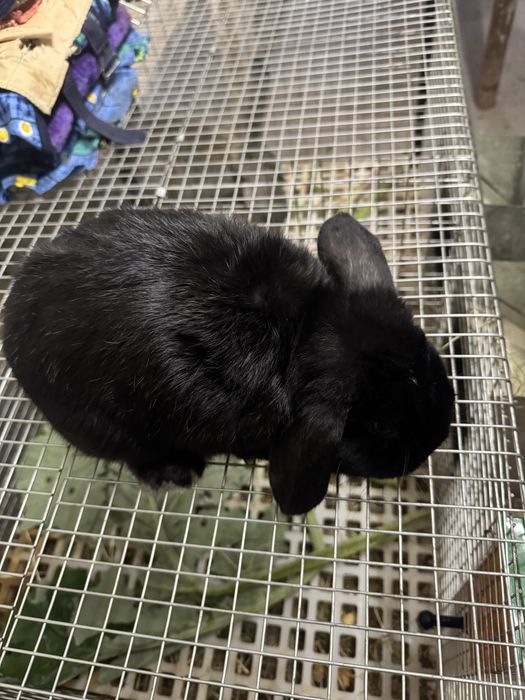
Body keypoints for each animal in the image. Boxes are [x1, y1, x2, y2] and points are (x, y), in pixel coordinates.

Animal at [3, 209, 454, 515]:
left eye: (429, 358)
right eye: (379, 427)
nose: (435, 440)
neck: (304, 332)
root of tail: (12, 327)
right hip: (110, 429)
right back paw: (178, 472)